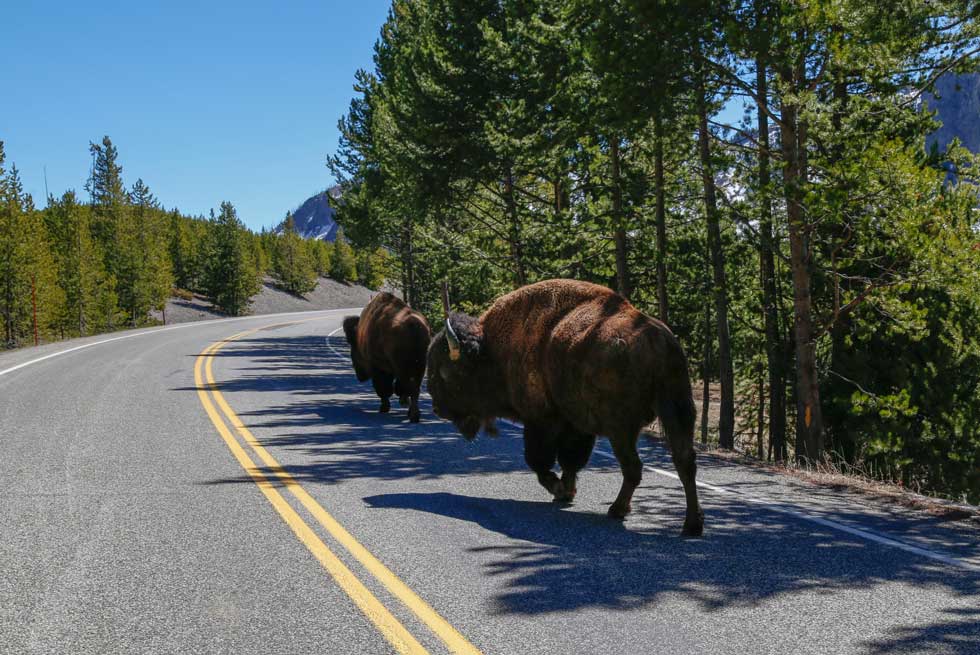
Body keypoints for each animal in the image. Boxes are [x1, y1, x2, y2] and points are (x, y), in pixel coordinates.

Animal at [343, 292, 431, 423]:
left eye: (353, 347)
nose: (360, 377)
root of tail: (413, 324)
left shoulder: (378, 367)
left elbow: (384, 388)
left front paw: (384, 407)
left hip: (404, 367)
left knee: (407, 387)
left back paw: (412, 414)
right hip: (420, 366)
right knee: (414, 388)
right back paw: (413, 414)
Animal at [427, 279, 704, 536]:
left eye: (445, 372)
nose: (437, 408)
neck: (493, 349)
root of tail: (658, 342)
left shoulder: (542, 420)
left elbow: (539, 460)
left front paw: (560, 490)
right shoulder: (576, 425)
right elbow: (571, 460)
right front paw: (568, 491)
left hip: (622, 428)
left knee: (634, 467)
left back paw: (617, 510)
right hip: (677, 410)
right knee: (685, 462)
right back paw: (692, 525)